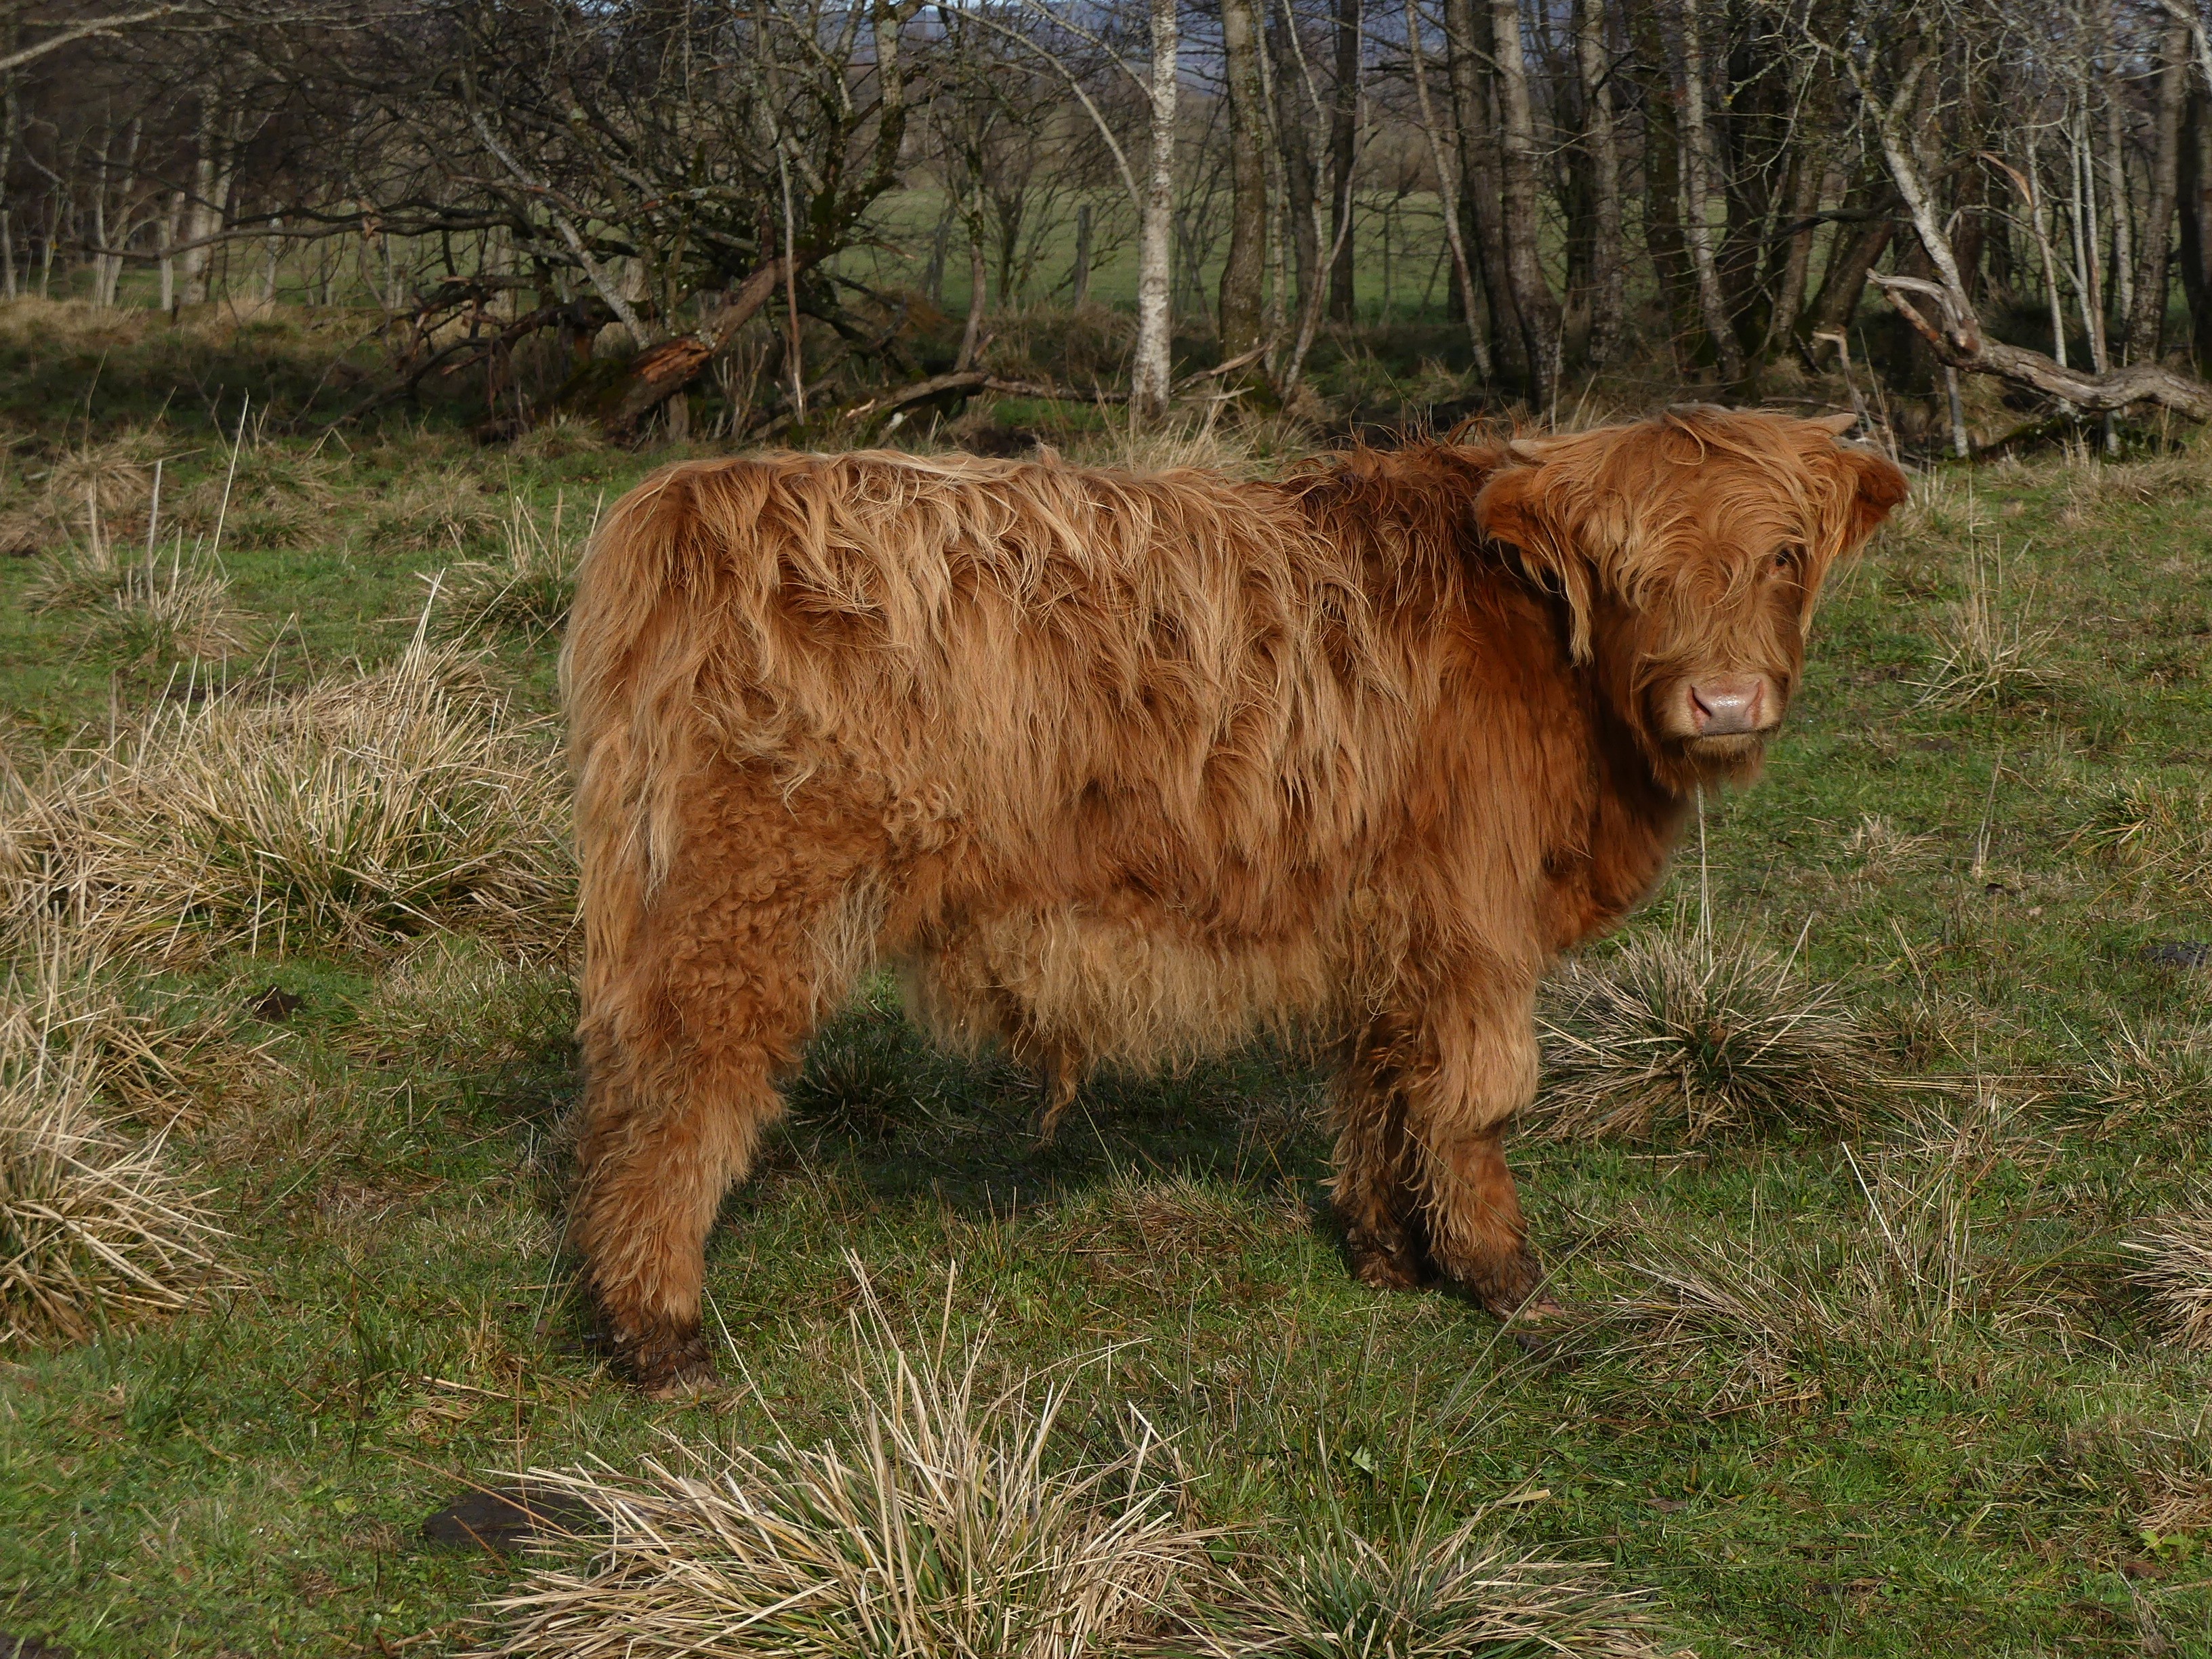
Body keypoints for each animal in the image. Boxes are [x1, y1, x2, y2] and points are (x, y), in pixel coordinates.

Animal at [562, 409, 1911, 1397]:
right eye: (1625, 567)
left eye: (1784, 555)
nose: (1724, 701)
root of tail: (698, 498)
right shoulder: (1469, 921)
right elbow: (1475, 1099)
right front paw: (1505, 1276)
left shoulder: (1383, 917)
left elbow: (1379, 1083)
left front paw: (1385, 1253)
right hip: (746, 899)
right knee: (682, 1094)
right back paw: (661, 1338)